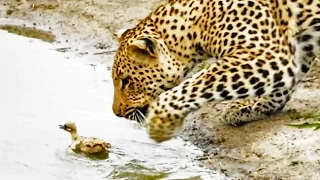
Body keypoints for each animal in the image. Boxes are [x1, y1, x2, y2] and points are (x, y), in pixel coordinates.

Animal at [111, 0, 320, 143]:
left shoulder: (266, 51)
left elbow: (195, 84)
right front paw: (252, 106)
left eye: (126, 81)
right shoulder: (295, 48)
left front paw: (160, 123)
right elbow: (283, 85)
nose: (116, 113)